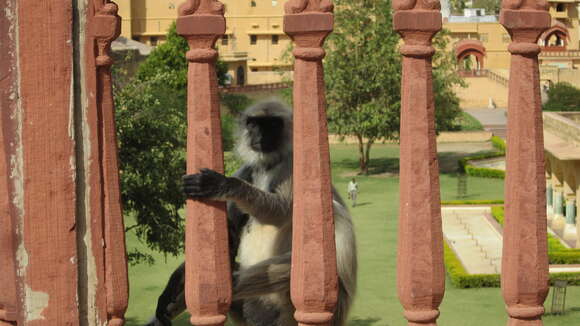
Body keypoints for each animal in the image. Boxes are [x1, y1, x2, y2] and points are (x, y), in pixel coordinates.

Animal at [146, 100, 354, 326]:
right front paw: (169, 291)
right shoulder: (248, 169)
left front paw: (225, 184)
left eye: (272, 125)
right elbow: (229, 237)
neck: (269, 165)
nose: (261, 136)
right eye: (255, 124)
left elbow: (282, 212)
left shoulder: (294, 166)